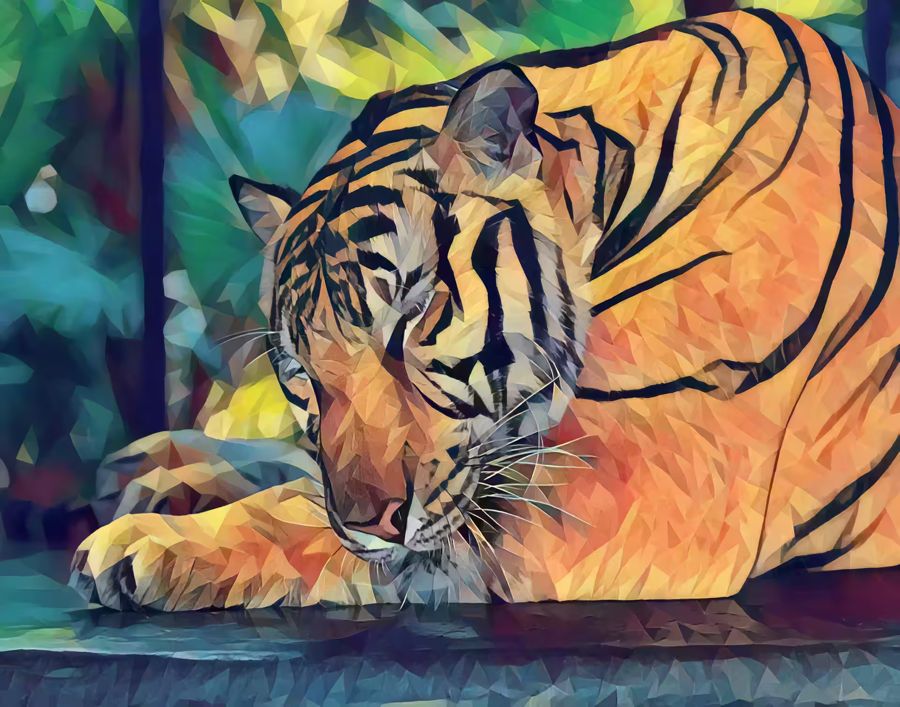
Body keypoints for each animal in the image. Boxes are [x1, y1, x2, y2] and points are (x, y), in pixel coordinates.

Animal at [71, 9, 899, 611]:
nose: (370, 519)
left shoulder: (608, 505)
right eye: (301, 376)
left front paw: (148, 543)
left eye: (411, 319)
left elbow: (310, 517)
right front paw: (162, 468)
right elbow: (305, 478)